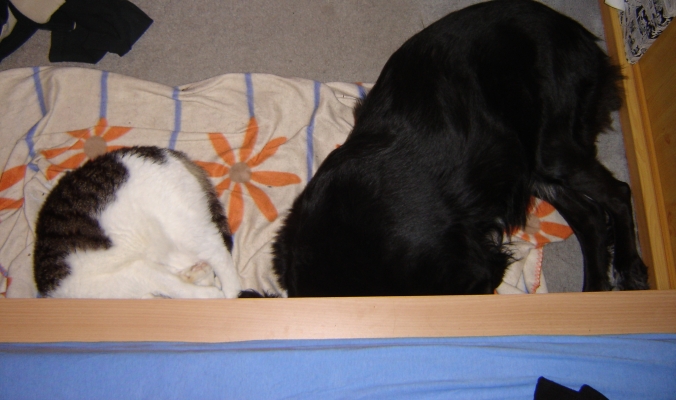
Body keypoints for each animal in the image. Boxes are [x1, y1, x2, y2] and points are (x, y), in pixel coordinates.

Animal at [33, 146, 242, 299]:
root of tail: (165, 153)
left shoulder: (134, 273)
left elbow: (176, 287)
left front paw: (211, 294)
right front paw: (196, 276)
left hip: (183, 226)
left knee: (218, 253)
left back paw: (230, 293)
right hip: (164, 243)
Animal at [271, 0, 649, 297]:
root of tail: (579, 34)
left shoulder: (465, 269)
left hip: (551, 150)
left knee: (618, 192)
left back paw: (629, 268)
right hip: (526, 165)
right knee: (591, 218)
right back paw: (594, 288)